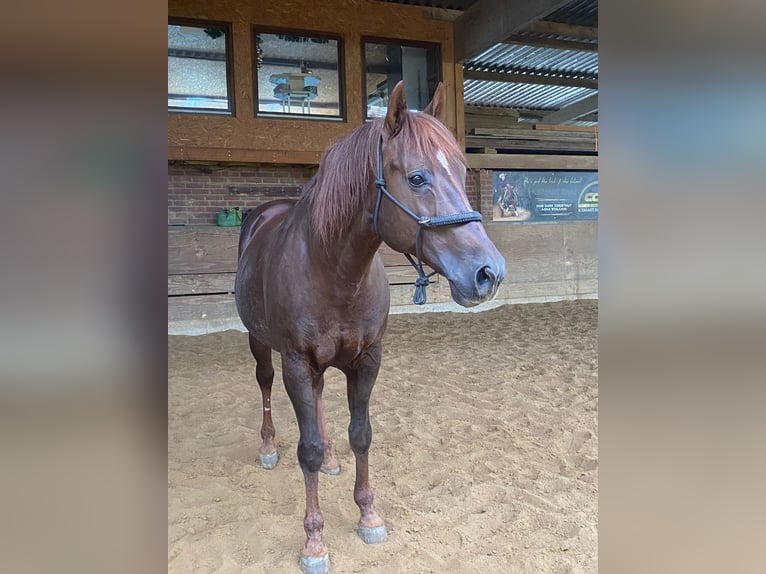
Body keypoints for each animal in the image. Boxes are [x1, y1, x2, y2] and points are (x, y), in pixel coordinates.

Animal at [234, 81, 506, 574]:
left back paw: (331, 460)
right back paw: (267, 447)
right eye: (417, 178)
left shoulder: (367, 360)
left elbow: (361, 435)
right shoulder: (296, 363)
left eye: (461, 170)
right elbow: (306, 449)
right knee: (264, 385)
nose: (488, 273)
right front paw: (314, 541)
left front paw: (368, 515)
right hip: (261, 344)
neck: (335, 271)